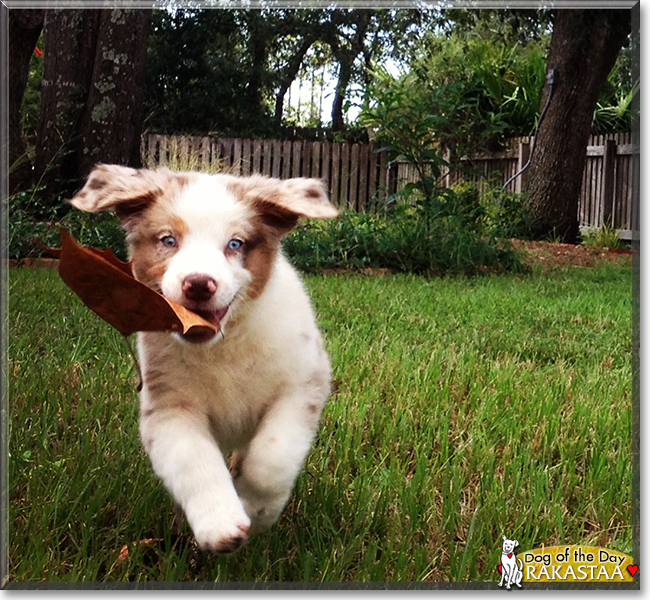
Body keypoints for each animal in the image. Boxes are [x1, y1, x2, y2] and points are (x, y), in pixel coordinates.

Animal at [69, 164, 336, 552]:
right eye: (168, 240)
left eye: (235, 244)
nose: (198, 283)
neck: (222, 346)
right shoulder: (168, 407)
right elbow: (194, 461)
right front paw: (220, 526)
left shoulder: (302, 384)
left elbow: (272, 458)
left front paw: (256, 511)